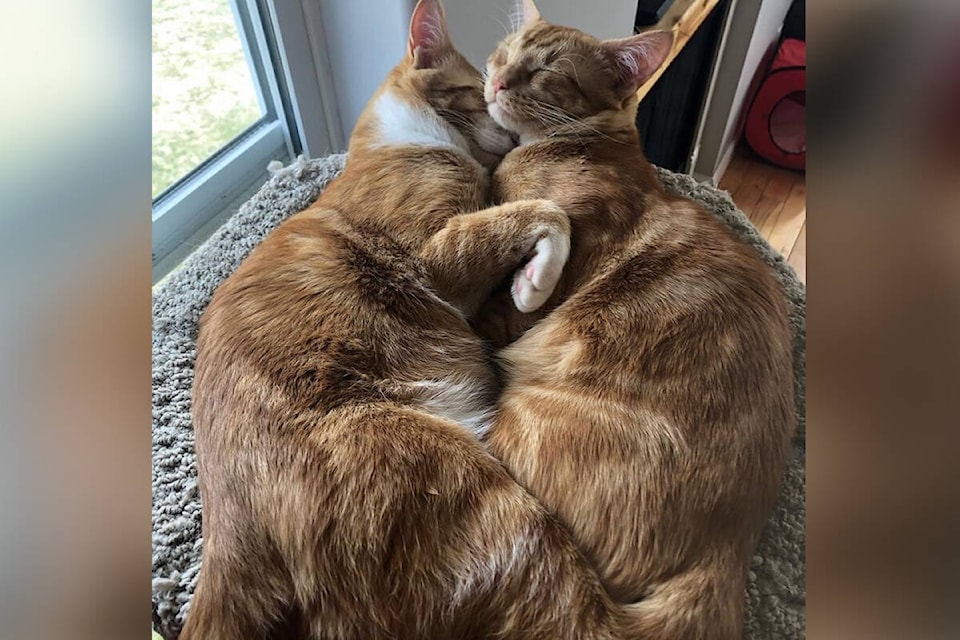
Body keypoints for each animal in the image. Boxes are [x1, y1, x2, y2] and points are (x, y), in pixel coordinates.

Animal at [182, 1, 636, 640]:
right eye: (479, 88)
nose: (506, 123)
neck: (396, 142)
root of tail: (225, 539)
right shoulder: (436, 259)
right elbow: (544, 214)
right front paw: (535, 281)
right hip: (477, 498)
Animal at [478, 2, 796, 636]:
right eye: (505, 52)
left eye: (546, 70)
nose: (497, 80)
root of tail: (727, 550)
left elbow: (530, 243)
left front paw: (526, 277)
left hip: (520, 426)